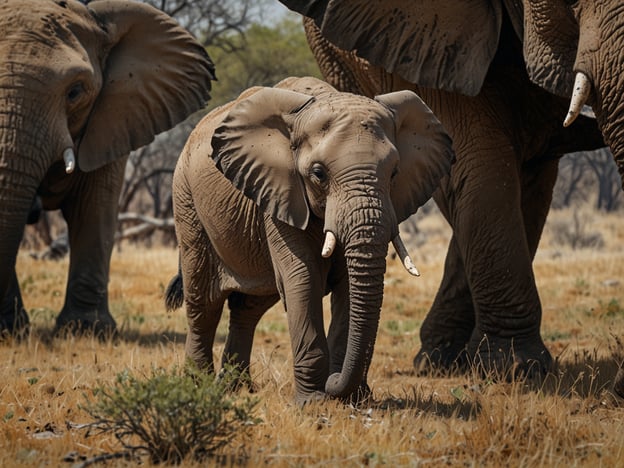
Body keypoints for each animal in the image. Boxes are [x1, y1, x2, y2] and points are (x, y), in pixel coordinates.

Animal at [163, 77, 456, 406]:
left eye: (394, 173)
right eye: (318, 174)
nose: (334, 383)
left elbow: (347, 284)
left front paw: (349, 398)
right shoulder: (280, 192)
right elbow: (303, 278)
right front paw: (314, 401)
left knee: (248, 306)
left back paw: (236, 388)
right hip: (186, 201)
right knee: (204, 302)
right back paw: (198, 386)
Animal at [276, 0, 624, 388]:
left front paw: (507, 367)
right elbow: (482, 160)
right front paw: (513, 370)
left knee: (530, 173)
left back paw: (444, 358)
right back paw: (441, 360)